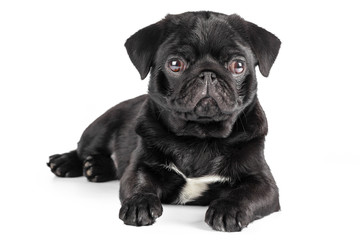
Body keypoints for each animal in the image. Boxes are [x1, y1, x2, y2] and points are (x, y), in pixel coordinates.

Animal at [46, 11, 280, 232]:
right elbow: (139, 182)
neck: (199, 136)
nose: (208, 74)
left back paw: (96, 167)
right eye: (175, 64)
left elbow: (244, 193)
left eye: (238, 66)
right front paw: (139, 203)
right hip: (101, 127)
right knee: (83, 149)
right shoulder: (141, 166)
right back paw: (67, 162)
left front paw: (228, 209)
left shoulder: (264, 183)